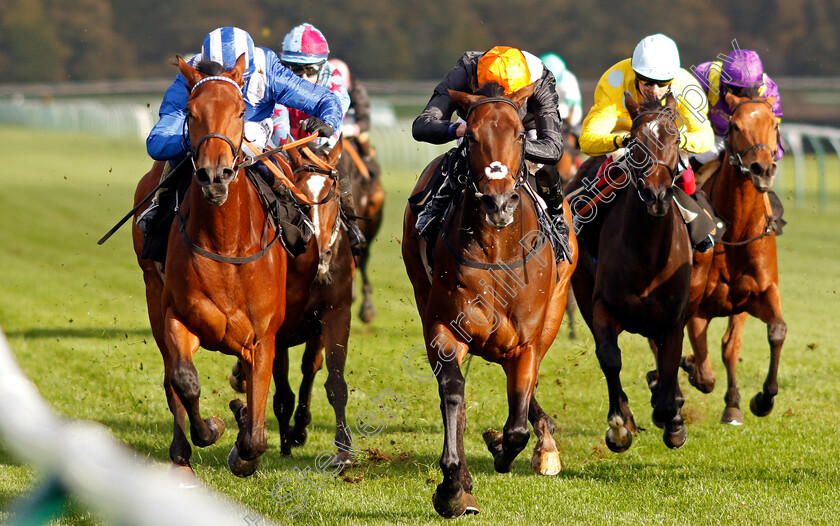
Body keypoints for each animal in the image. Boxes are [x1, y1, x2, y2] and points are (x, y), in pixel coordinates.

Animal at [132, 55, 286, 480]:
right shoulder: (176, 314)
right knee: (171, 378)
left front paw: (243, 446)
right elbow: (183, 380)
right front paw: (212, 428)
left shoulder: (262, 337)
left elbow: (256, 433)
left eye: (240, 112)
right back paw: (181, 457)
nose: (215, 176)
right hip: (152, 293)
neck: (226, 242)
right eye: (190, 112)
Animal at [402, 83, 576, 520]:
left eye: (520, 134)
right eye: (472, 136)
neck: (498, 250)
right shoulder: (444, 327)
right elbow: (453, 393)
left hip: (554, 311)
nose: (498, 203)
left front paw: (504, 445)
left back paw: (545, 445)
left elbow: (516, 425)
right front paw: (454, 487)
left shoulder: (526, 340)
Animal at [680, 93, 784, 426]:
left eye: (774, 125)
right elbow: (704, 373)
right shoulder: (696, 306)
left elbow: (773, 333)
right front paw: (689, 367)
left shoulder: (758, 294)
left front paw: (759, 400)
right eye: (736, 125)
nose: (762, 169)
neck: (736, 231)